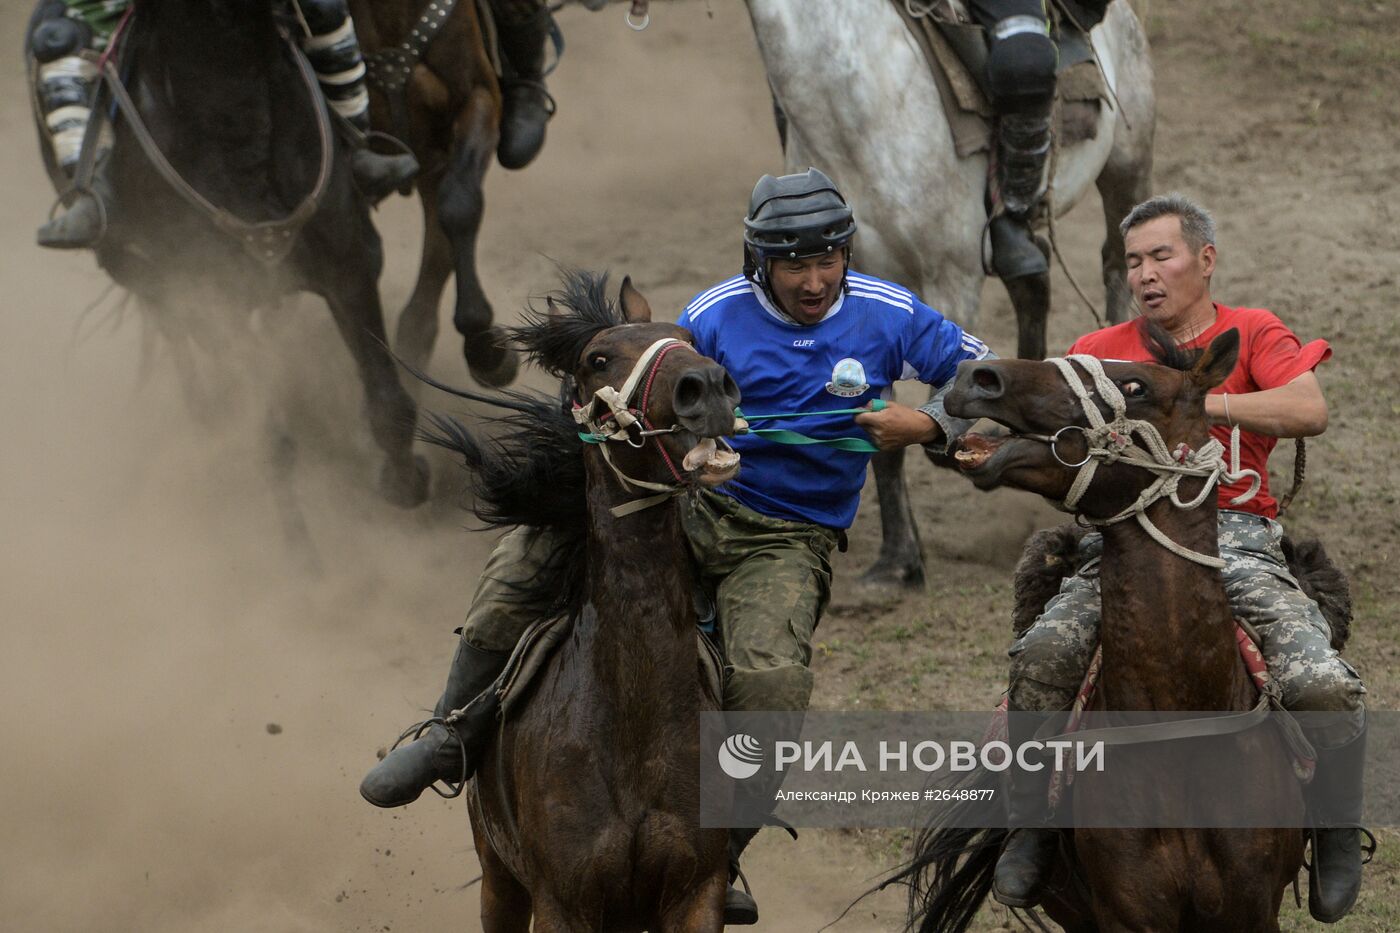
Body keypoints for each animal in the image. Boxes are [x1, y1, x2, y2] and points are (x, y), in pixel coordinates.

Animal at [420, 270, 739, 930]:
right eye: (598, 359)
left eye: (687, 339)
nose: (709, 386)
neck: (633, 729)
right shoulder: (562, 902)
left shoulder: (697, 892)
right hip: (499, 880)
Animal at [739, 0, 1153, 582]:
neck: (860, 108)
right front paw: (897, 559)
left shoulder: (949, 280)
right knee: (1032, 283)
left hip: (1127, 165)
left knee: (1117, 269)